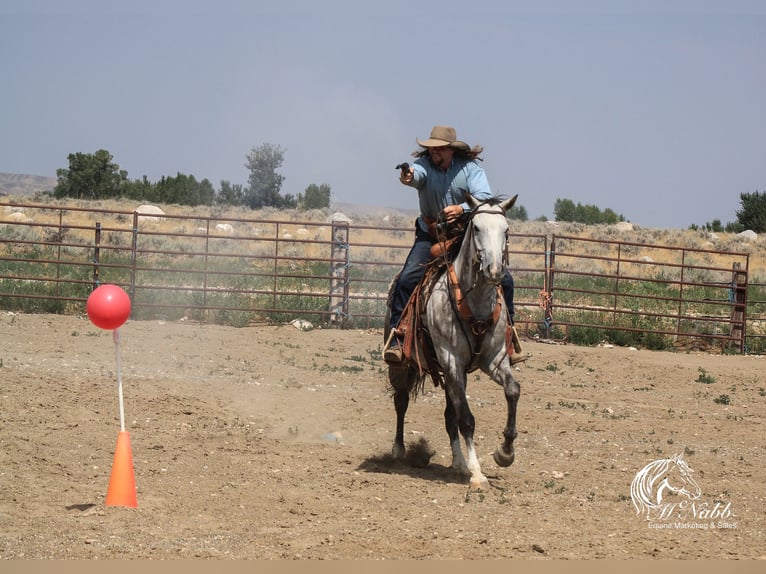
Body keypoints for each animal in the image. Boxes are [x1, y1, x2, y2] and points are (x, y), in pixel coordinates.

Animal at [384, 194, 520, 490]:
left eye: (506, 231)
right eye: (477, 228)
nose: (494, 270)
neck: (475, 301)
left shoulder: (493, 360)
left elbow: (512, 391)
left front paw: (505, 453)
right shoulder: (451, 359)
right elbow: (467, 419)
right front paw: (478, 473)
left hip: (452, 374)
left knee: (449, 414)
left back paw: (458, 463)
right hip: (403, 367)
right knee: (401, 401)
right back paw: (398, 449)